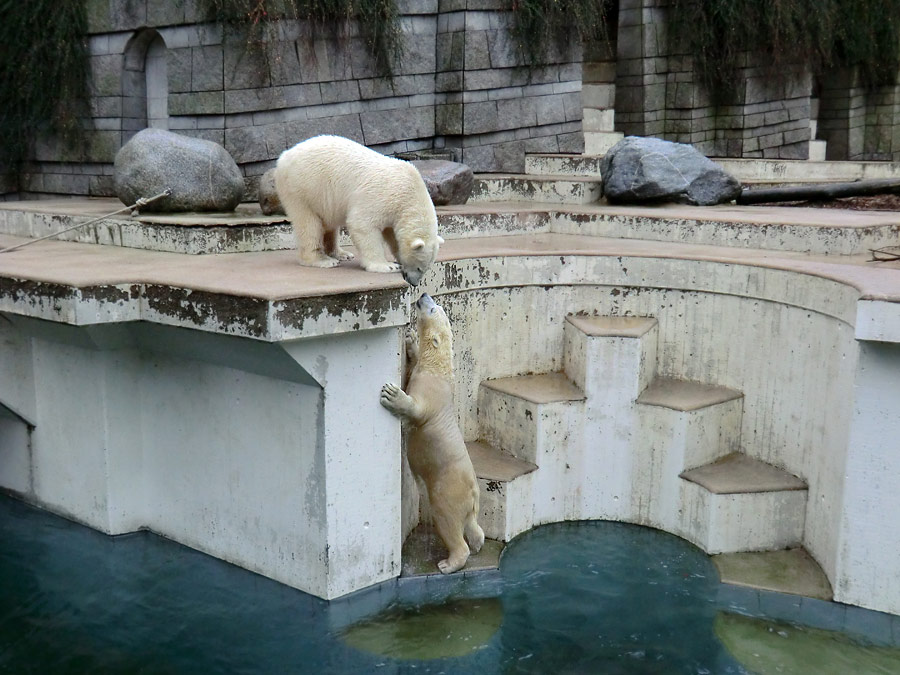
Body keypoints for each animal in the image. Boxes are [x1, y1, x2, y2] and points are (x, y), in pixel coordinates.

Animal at [274, 136, 442, 286]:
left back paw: (341, 254)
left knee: (329, 224)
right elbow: (363, 225)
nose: (414, 283)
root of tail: (284, 156)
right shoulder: (381, 197)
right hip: (304, 188)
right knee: (309, 224)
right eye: (419, 267)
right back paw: (322, 260)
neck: (409, 192)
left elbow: (392, 234)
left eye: (426, 268)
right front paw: (387, 265)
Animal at [380, 294, 486, 572]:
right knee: (472, 524)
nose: (423, 295)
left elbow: (416, 408)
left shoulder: (430, 391)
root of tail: (474, 492)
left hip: (448, 490)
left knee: (447, 520)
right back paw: (479, 542)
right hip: (468, 501)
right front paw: (411, 341)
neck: (439, 370)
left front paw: (392, 394)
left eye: (433, 309)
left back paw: (449, 562)